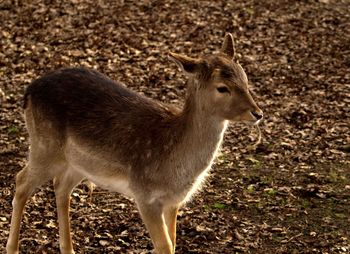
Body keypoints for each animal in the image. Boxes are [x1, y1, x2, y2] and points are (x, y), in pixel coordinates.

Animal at [6, 33, 262, 254]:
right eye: (222, 88)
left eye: (245, 78)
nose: (257, 113)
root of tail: (28, 91)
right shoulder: (144, 194)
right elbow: (164, 246)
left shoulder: (174, 201)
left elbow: (173, 242)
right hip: (44, 146)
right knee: (21, 181)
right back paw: (13, 248)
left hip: (78, 163)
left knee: (61, 187)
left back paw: (68, 249)